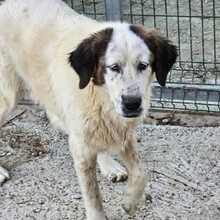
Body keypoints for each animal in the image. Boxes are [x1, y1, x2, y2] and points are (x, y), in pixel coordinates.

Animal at [0, 0, 177, 218]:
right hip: (7, 97)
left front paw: (130, 201)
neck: (102, 98)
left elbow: (141, 172)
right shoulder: (81, 142)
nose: (132, 104)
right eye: (113, 67)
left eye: (143, 65)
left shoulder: (122, 130)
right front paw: (98, 215)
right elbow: (92, 192)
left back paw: (109, 165)